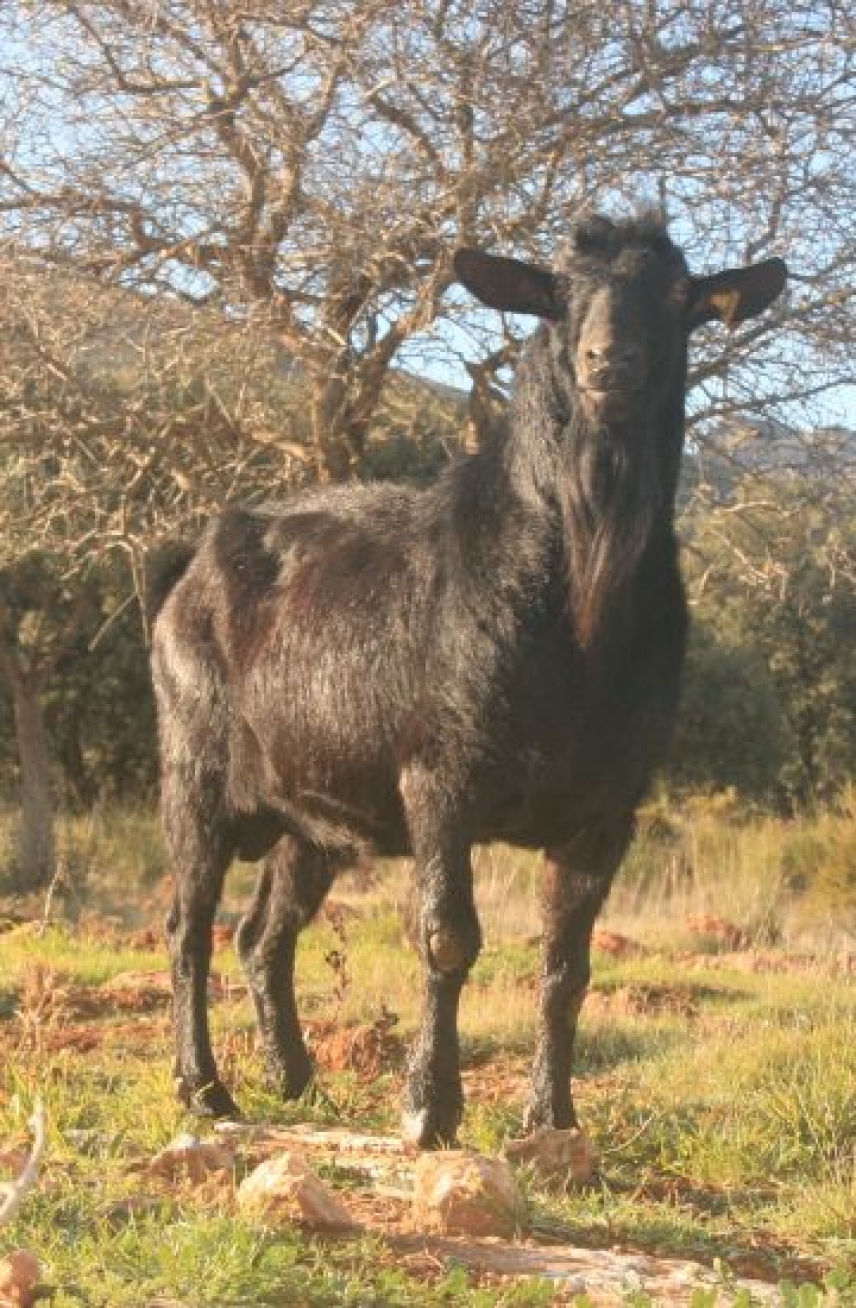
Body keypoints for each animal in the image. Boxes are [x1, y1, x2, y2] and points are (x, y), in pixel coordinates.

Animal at [152, 214, 785, 1145]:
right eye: (557, 297)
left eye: (682, 299)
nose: (610, 361)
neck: (578, 611)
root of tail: (191, 570)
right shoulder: (440, 779)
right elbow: (447, 937)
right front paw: (428, 1108)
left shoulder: (608, 810)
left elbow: (567, 966)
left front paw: (553, 1119)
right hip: (194, 770)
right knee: (188, 927)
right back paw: (206, 1090)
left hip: (315, 816)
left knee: (264, 935)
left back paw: (295, 1078)